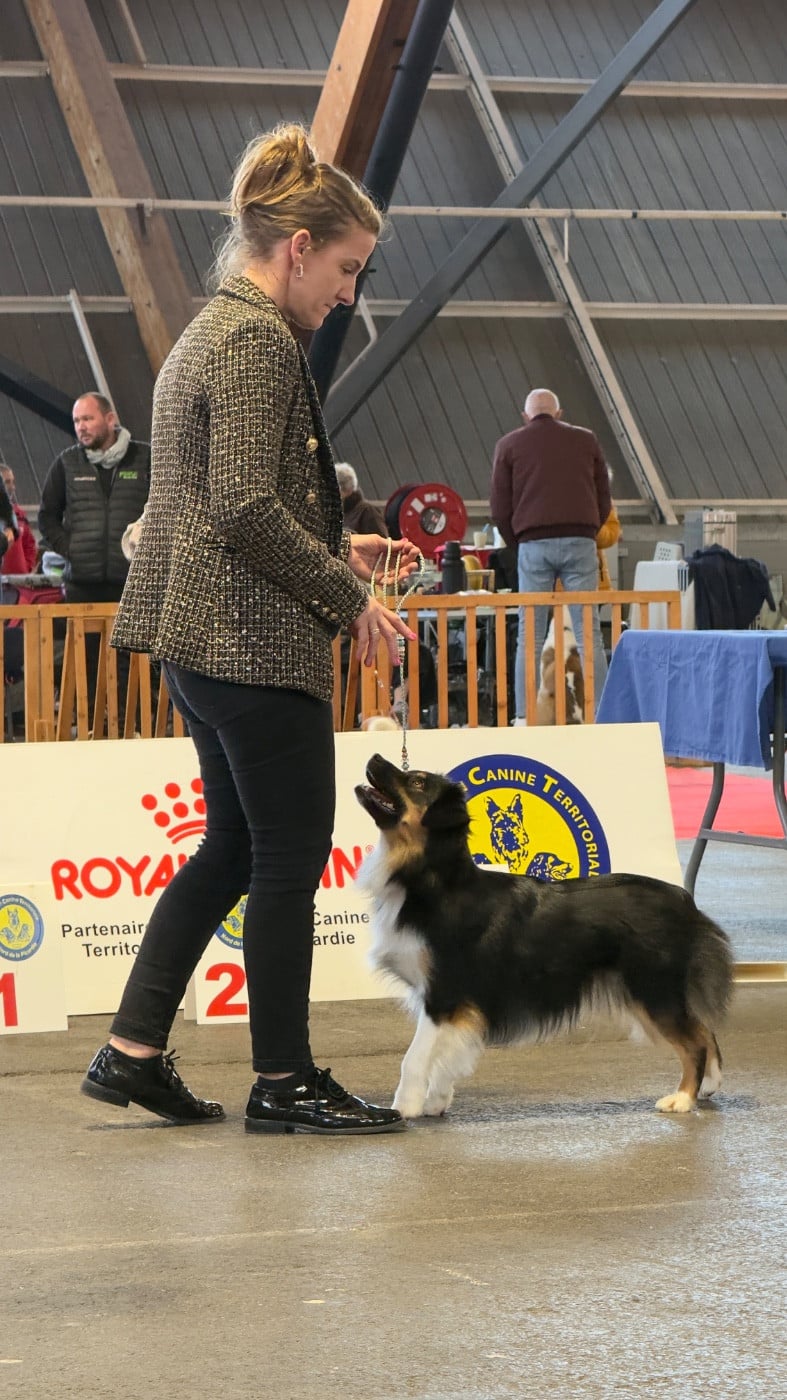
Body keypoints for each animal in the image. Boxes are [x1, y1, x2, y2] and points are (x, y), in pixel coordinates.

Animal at [355, 755, 733, 1120]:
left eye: (417, 781)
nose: (373, 757)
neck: (432, 880)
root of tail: (683, 900)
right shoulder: (458, 1005)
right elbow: (450, 1057)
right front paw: (436, 1101)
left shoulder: (443, 994)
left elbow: (414, 1059)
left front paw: (404, 1108)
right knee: (704, 1031)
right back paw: (709, 1085)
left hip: (653, 989)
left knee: (695, 1042)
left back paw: (683, 1098)